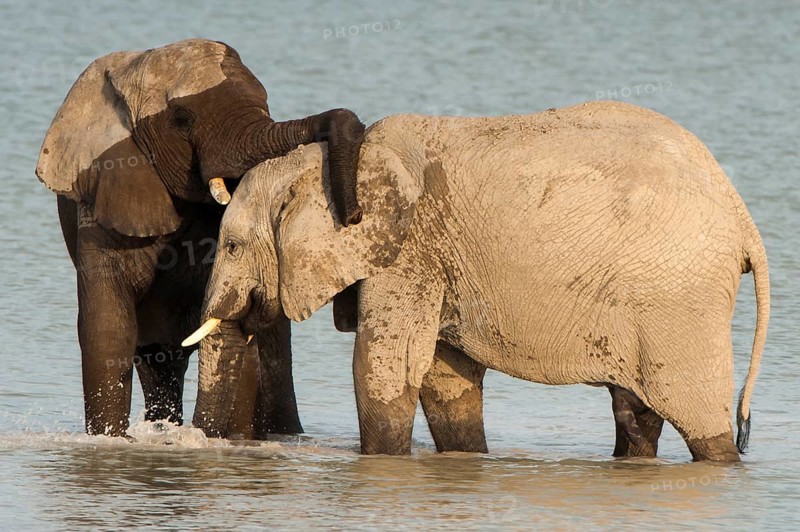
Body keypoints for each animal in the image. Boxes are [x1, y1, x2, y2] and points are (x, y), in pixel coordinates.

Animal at [34, 39, 365, 438]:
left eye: (265, 100)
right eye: (182, 119)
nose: (353, 215)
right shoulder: (100, 199)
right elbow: (108, 328)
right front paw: (111, 440)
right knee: (156, 359)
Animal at [188, 100, 770, 461]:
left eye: (233, 246)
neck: (334, 164)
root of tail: (745, 220)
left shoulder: (409, 251)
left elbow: (385, 366)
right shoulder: (438, 261)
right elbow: (447, 380)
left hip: (678, 301)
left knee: (700, 424)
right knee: (636, 414)